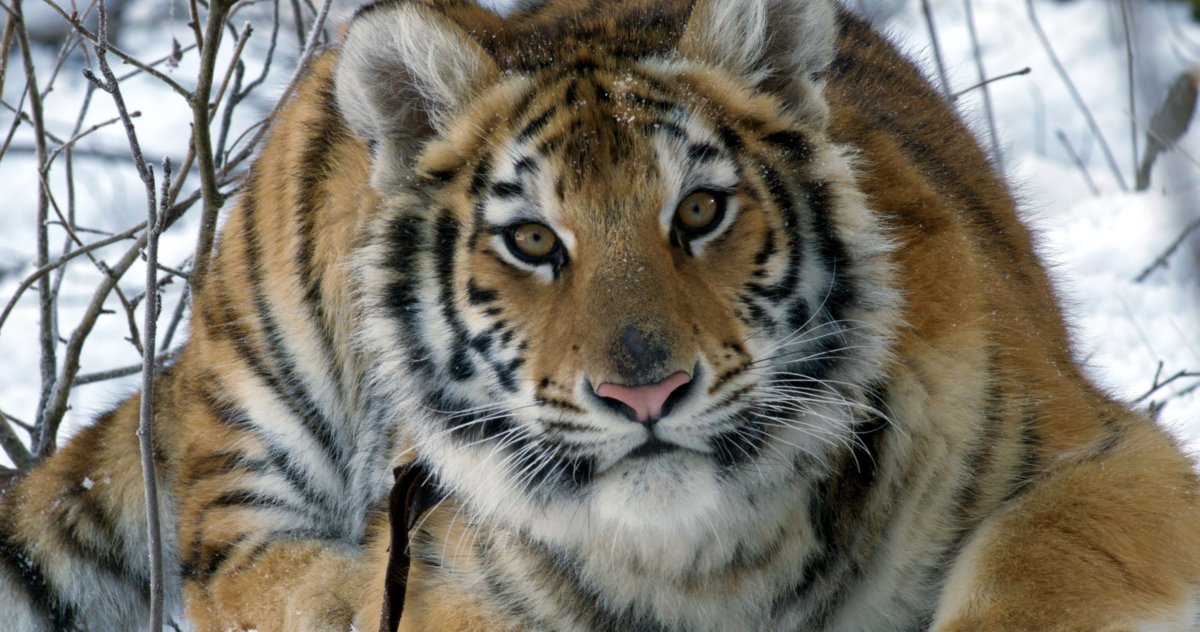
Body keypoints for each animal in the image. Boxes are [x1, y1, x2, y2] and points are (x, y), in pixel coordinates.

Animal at [3, 0, 1199, 629]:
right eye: (534, 239)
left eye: (701, 211)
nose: (645, 390)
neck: (705, 554)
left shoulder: (1101, 457)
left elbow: (1032, 575)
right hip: (266, 382)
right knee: (242, 564)